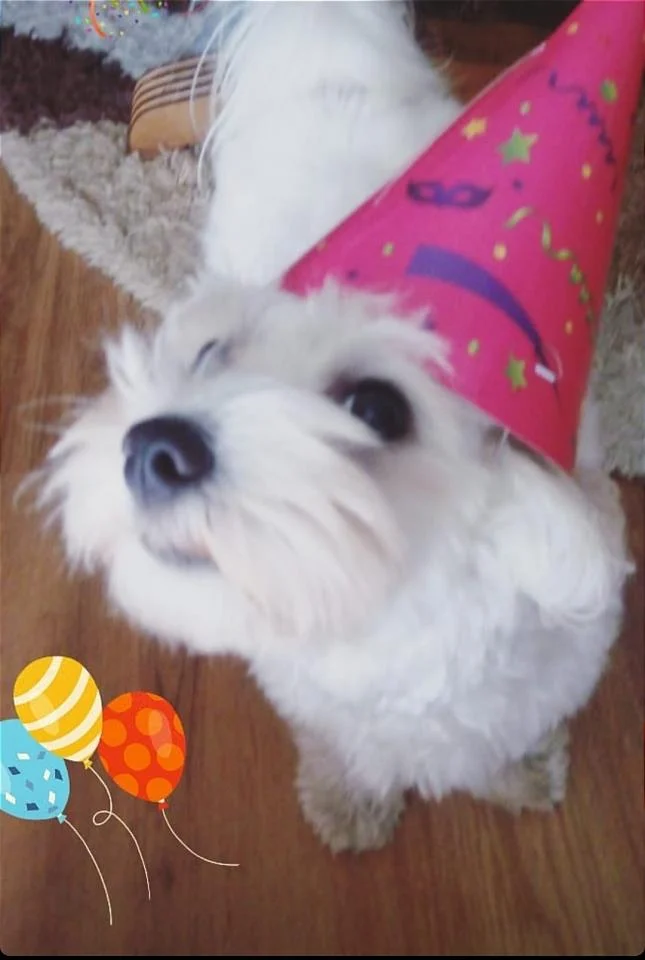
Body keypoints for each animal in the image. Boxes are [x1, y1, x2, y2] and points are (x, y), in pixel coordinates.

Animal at [39, 1, 632, 852]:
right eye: (212, 355)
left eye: (377, 409)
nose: (154, 447)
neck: (394, 620)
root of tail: (334, 49)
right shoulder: (312, 692)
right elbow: (341, 739)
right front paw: (348, 793)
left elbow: (511, 726)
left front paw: (515, 768)